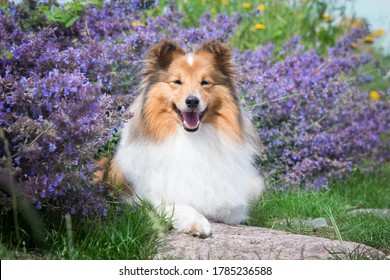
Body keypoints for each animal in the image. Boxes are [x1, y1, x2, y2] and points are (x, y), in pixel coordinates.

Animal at [106, 38, 266, 237]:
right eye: (177, 81)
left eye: (205, 82)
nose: (192, 101)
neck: (191, 139)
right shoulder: (145, 198)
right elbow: (175, 205)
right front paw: (196, 222)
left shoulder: (234, 204)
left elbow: (227, 206)